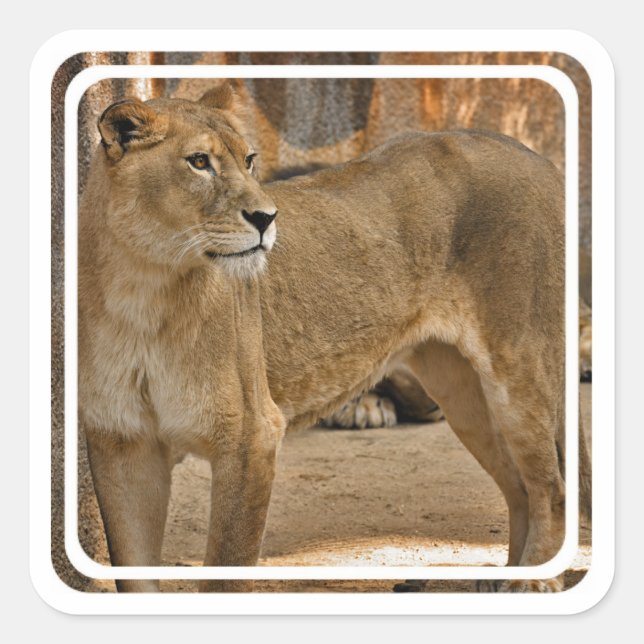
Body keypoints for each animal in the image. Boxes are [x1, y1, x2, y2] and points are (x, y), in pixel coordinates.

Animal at [79, 85, 591, 593]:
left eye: (249, 160)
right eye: (199, 162)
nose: (266, 217)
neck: (145, 292)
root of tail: (533, 155)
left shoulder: (251, 437)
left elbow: (227, 571)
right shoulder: (123, 442)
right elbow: (132, 569)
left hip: (520, 366)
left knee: (553, 489)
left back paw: (532, 584)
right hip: (460, 391)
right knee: (519, 486)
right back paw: (506, 580)